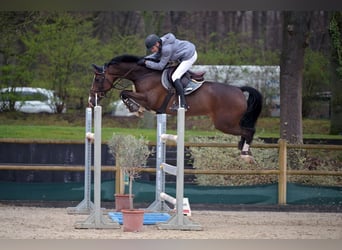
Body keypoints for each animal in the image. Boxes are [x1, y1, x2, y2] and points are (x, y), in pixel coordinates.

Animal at [88, 54, 262, 160]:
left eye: (98, 79)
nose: (91, 99)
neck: (144, 74)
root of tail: (239, 90)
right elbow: (125, 93)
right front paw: (137, 109)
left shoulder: (149, 99)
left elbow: (124, 93)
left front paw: (136, 109)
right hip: (229, 123)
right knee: (246, 131)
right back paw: (244, 150)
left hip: (224, 124)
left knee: (249, 131)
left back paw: (245, 154)